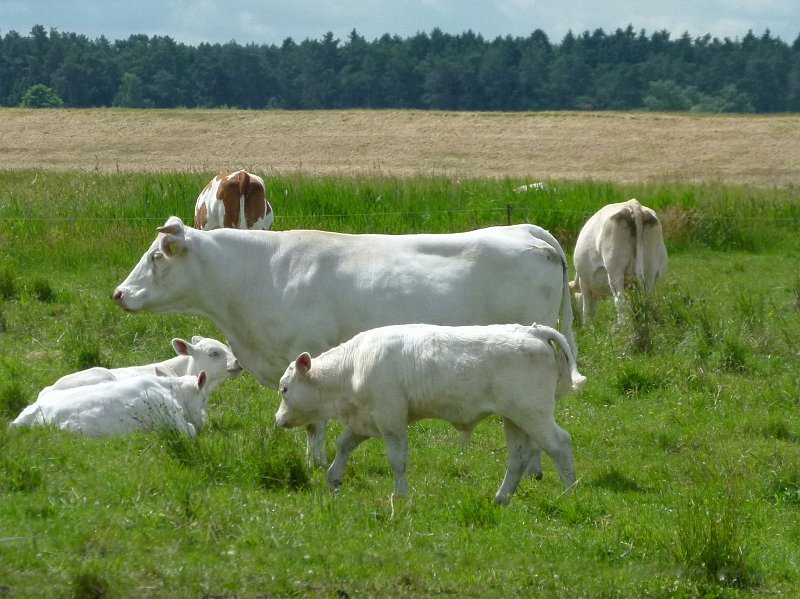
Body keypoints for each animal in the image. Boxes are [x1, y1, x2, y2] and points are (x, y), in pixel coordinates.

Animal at [114, 217, 576, 468]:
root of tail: (525, 231)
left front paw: (315, 462)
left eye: (157, 255)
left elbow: (314, 422)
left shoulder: (307, 356)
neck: (261, 273)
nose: (119, 293)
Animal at [278, 324, 584, 506]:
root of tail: (532, 331)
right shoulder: (366, 419)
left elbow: (397, 460)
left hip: (533, 414)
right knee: (519, 457)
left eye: (284, 388)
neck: (352, 365)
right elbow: (344, 444)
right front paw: (333, 479)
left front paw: (400, 495)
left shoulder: (391, 420)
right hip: (515, 419)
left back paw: (570, 493)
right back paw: (501, 498)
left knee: (559, 444)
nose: (278, 419)